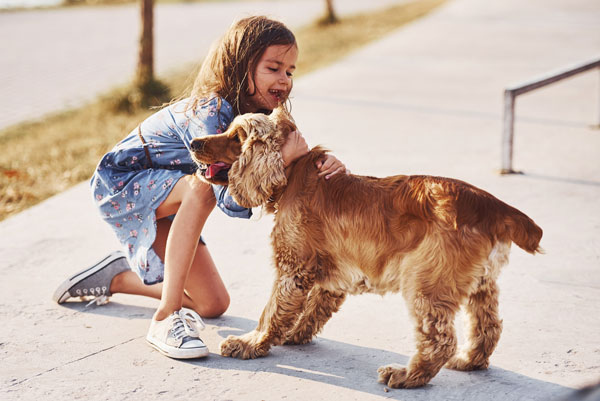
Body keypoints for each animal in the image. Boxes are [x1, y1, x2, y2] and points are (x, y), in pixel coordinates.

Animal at [191, 107, 544, 388]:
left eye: (237, 137)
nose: (194, 143)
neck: (292, 176)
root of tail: (494, 207)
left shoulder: (293, 267)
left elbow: (272, 311)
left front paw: (249, 344)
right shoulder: (330, 273)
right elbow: (311, 308)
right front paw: (293, 334)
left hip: (426, 283)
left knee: (440, 341)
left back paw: (405, 376)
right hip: (481, 283)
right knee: (489, 327)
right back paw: (469, 361)